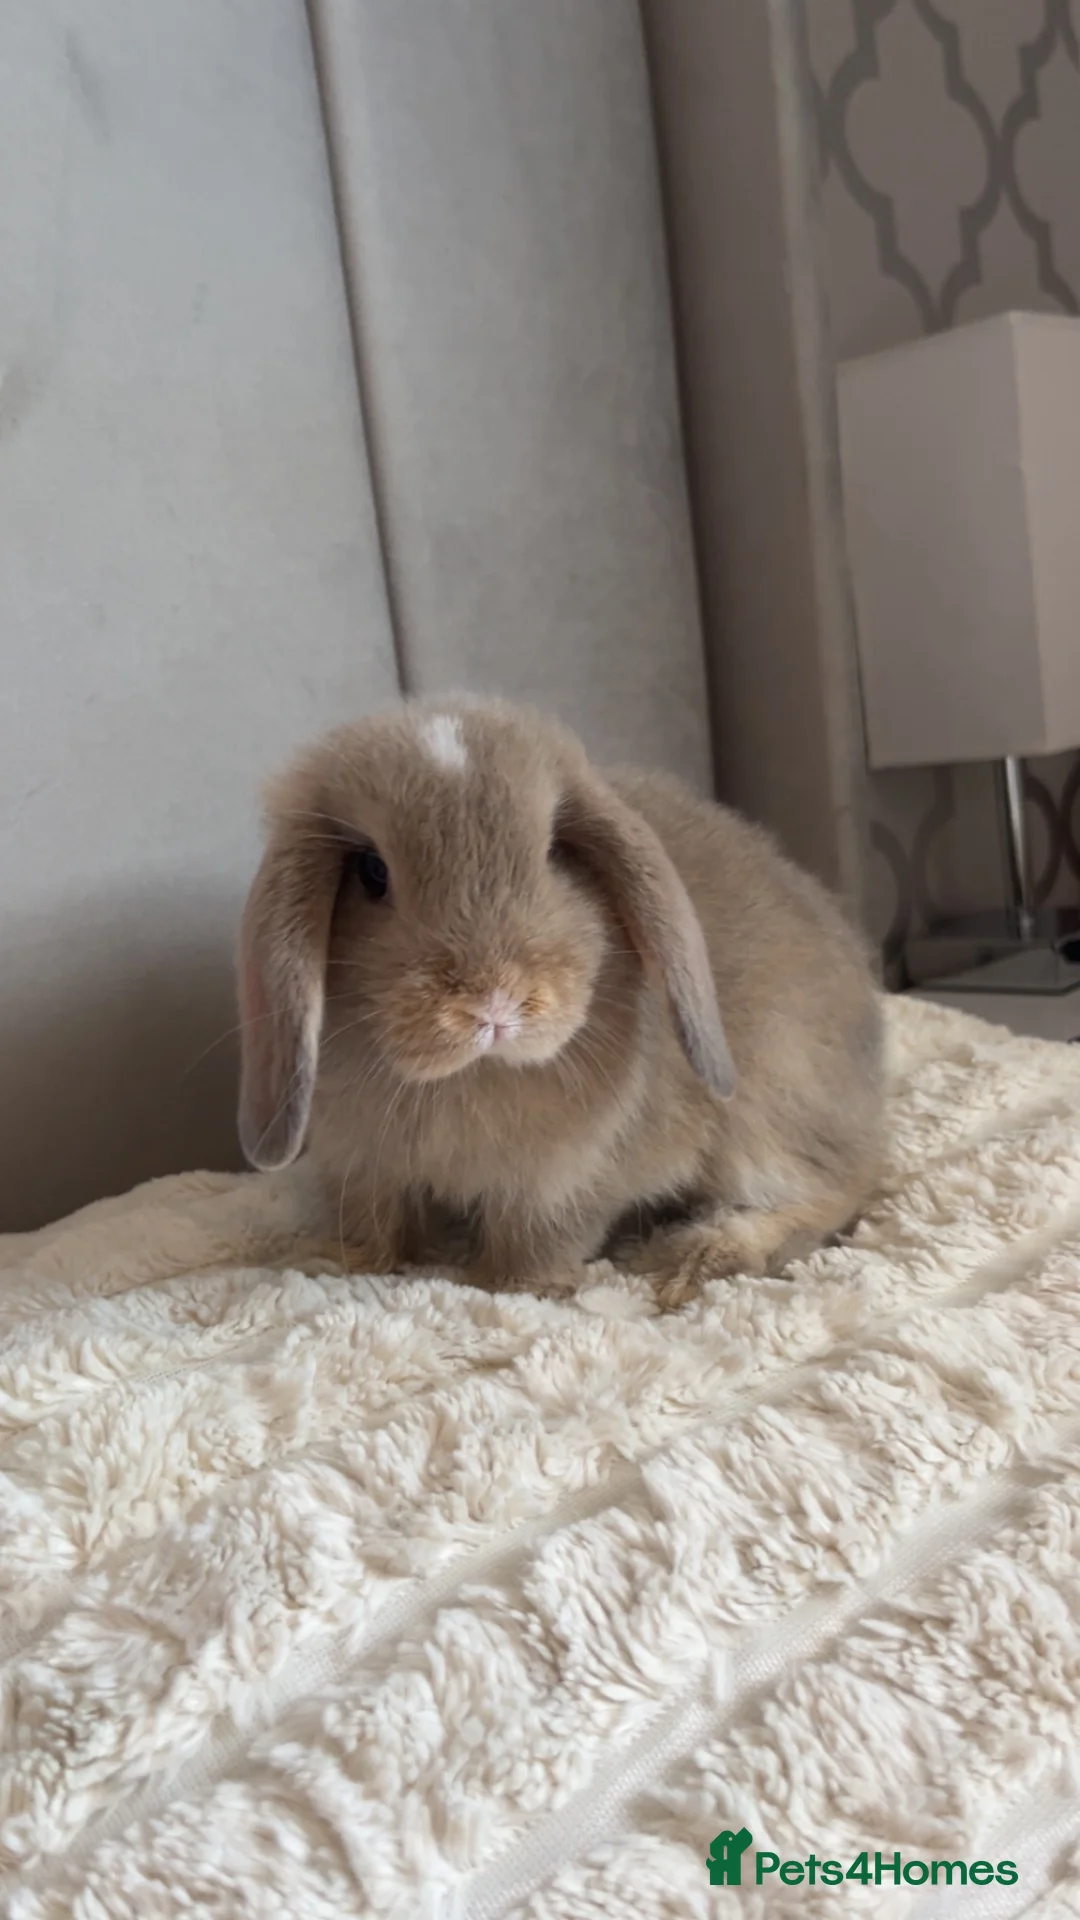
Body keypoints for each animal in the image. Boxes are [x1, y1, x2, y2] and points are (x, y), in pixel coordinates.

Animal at [237, 697, 884, 1307]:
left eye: (554, 853)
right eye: (371, 872)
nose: (493, 1003)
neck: (475, 1075)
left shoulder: (565, 1181)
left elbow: (537, 1237)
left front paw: (520, 1287)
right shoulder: (361, 1167)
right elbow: (374, 1225)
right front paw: (331, 1264)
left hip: (763, 1120)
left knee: (837, 1188)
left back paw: (701, 1256)